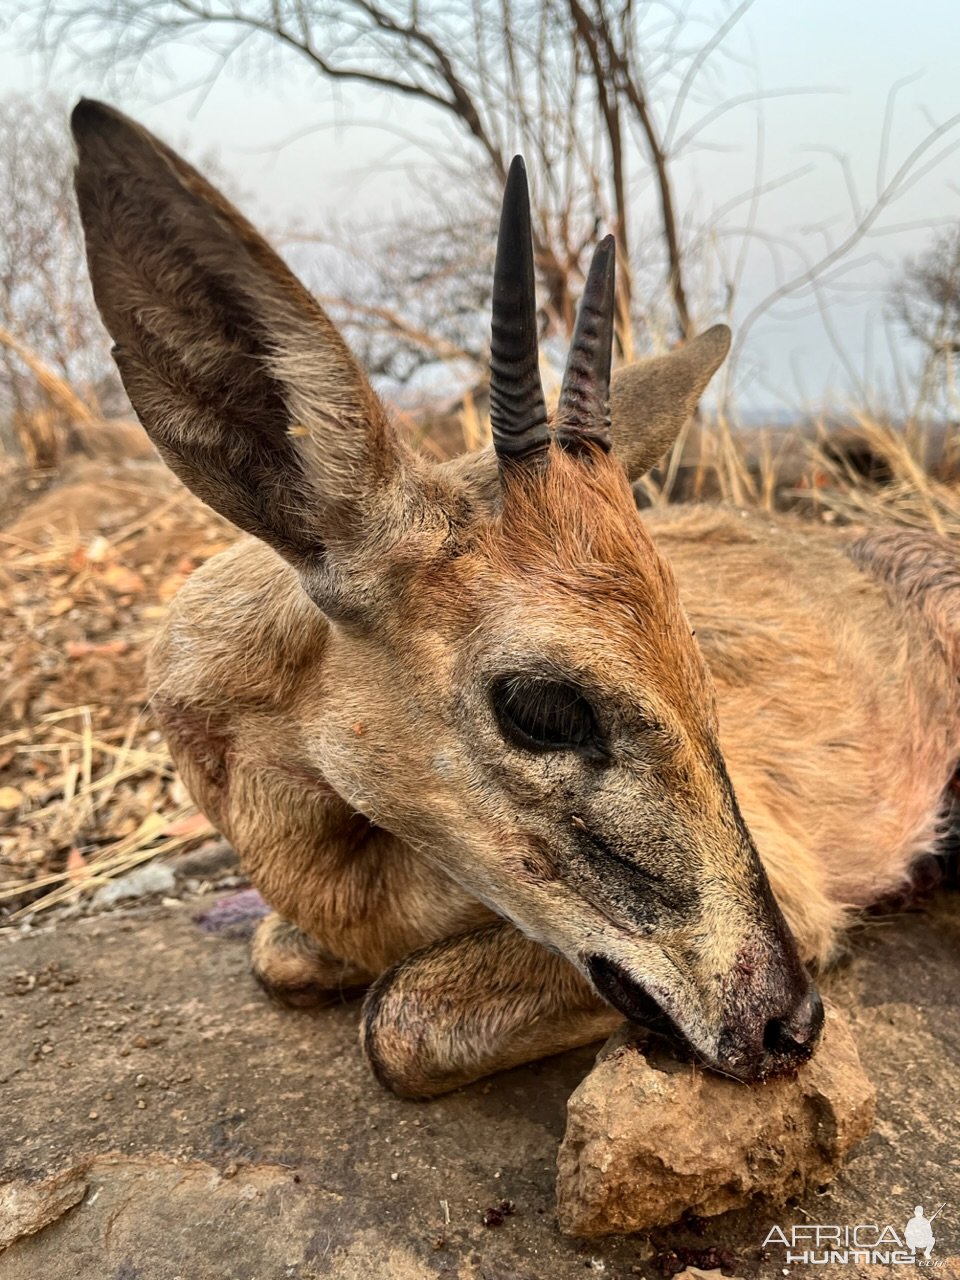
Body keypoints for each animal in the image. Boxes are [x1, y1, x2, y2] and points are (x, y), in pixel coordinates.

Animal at [71, 102, 960, 1100]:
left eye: (704, 670)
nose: (788, 1019)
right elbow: (282, 955)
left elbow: (393, 1017)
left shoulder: (798, 904)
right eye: (540, 706)